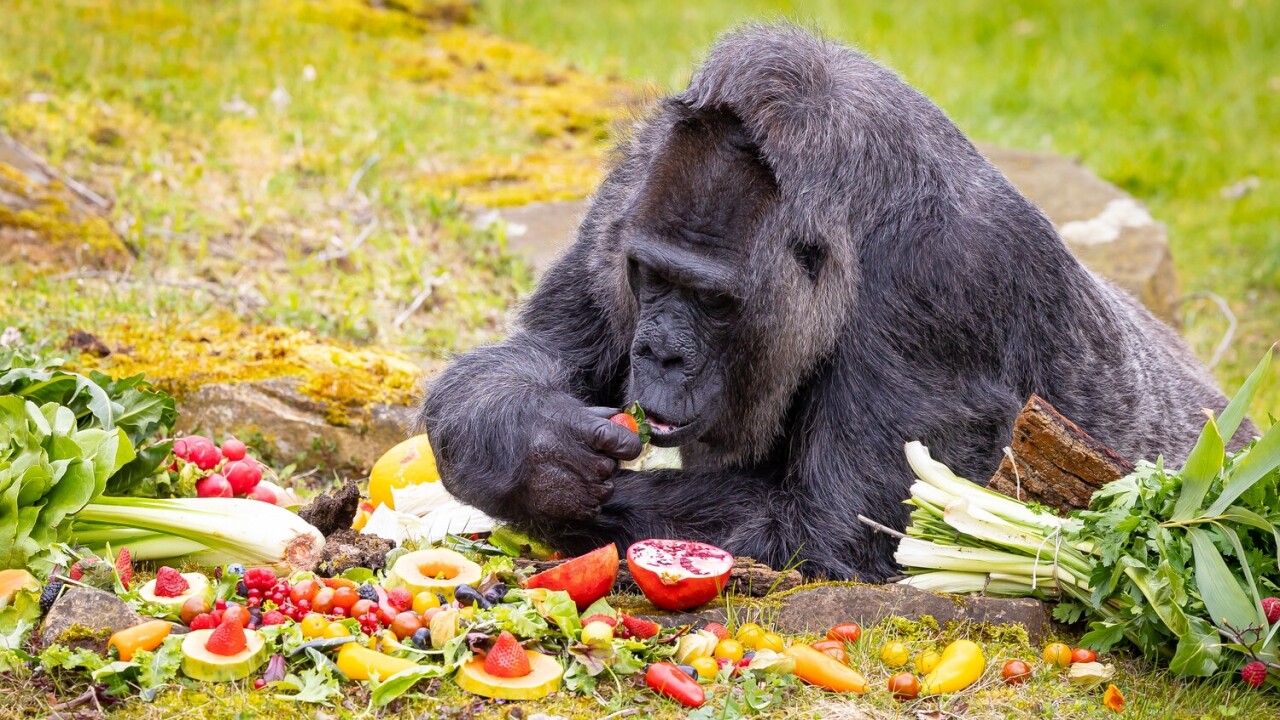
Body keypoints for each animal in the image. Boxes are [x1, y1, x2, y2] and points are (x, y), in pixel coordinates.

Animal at [419, 25, 1228, 579]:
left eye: (712, 300)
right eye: (651, 277)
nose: (659, 352)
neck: (855, 209)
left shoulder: (940, 284)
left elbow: (827, 533)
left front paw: (546, 495)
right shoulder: (624, 195)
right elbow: (537, 356)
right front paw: (526, 450)